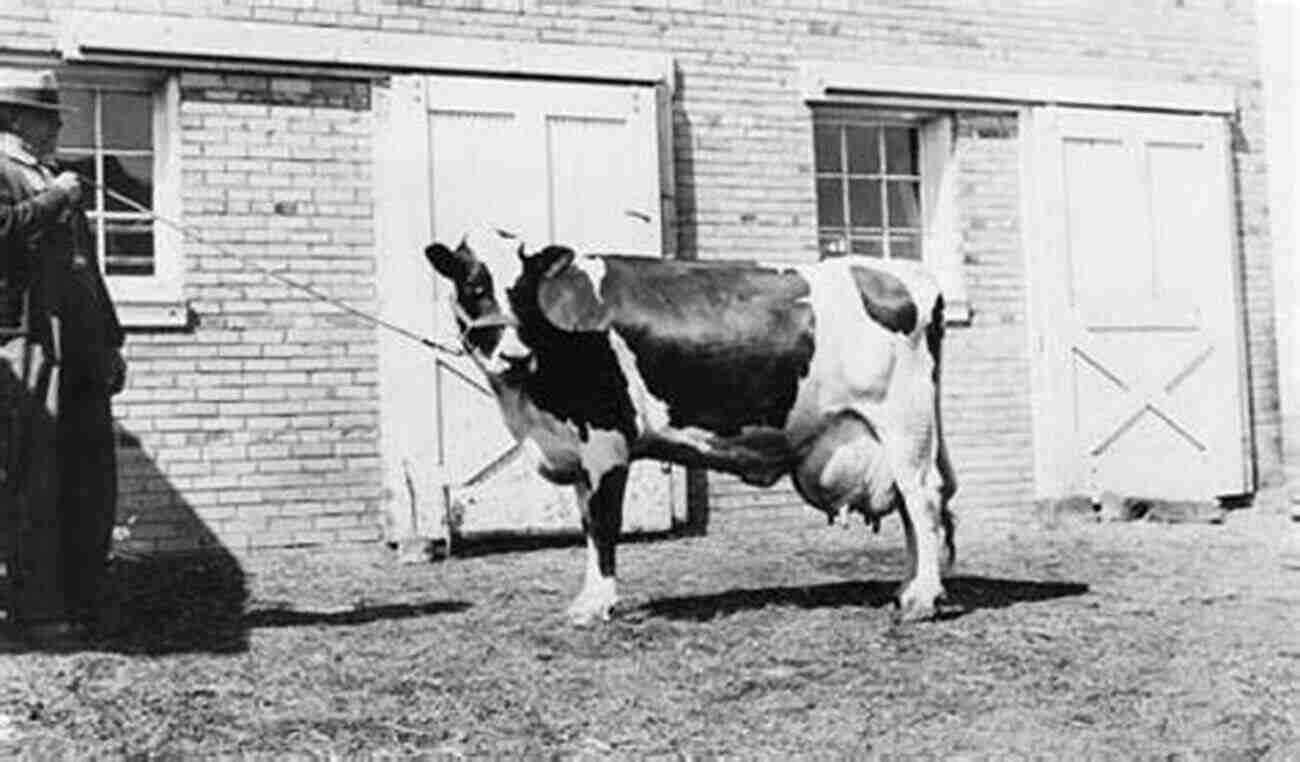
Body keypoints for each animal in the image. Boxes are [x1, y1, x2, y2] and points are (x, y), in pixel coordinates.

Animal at [426, 234, 956, 618]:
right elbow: (587, 523)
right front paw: (589, 599)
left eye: (523, 292)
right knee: (914, 507)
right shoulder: (576, 454)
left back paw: (921, 599)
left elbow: (604, 523)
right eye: (475, 288)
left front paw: (597, 606)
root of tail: (903, 273)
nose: (515, 356)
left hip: (904, 422)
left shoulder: (605, 441)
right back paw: (907, 587)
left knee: (922, 498)